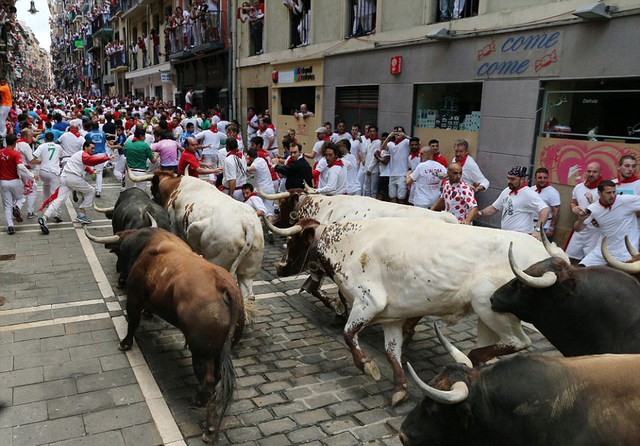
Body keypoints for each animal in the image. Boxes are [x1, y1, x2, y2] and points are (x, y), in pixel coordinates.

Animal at [85, 226, 245, 442]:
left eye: (119, 252)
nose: (119, 272)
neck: (145, 244)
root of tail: (224, 284)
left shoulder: (134, 296)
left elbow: (132, 322)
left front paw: (125, 343)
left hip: (201, 354)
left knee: (210, 384)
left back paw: (209, 428)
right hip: (218, 352)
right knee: (216, 378)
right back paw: (198, 399)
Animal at [129, 167, 264, 300]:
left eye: (152, 188)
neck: (175, 186)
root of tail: (246, 222)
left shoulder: (174, 227)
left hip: (217, 260)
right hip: (248, 271)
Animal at [262, 215, 568, 404]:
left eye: (293, 240)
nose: (279, 267)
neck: (349, 245)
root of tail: (553, 256)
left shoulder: (368, 302)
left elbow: (349, 335)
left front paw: (368, 366)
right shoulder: (391, 316)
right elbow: (391, 352)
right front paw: (399, 387)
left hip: (489, 304)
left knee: (518, 341)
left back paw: (473, 357)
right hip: (485, 317)